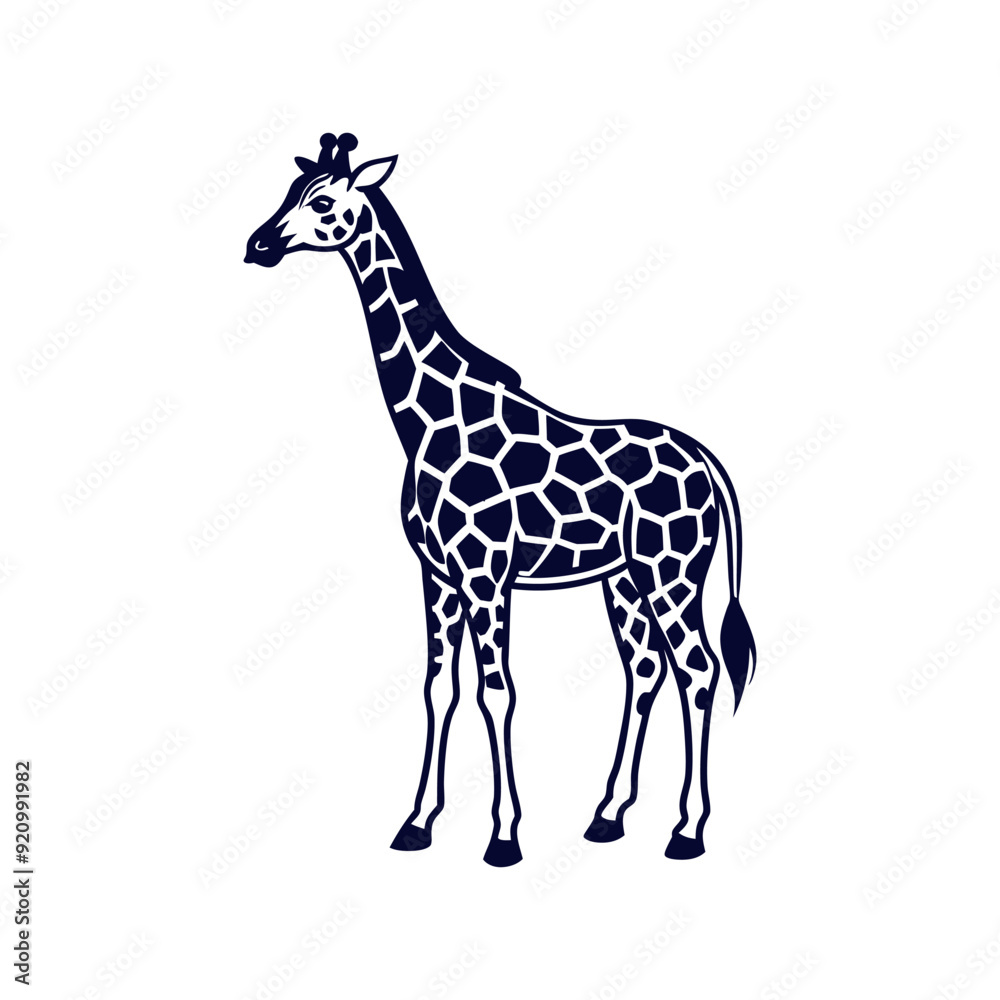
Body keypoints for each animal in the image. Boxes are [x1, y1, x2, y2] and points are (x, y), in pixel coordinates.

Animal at [244, 132, 757, 867]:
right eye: (291, 190)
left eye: (321, 201)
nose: (257, 244)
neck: (428, 419)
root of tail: (709, 464)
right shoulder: (437, 574)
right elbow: (439, 689)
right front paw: (416, 824)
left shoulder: (487, 575)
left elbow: (496, 690)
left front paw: (504, 836)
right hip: (625, 579)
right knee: (645, 669)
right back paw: (607, 816)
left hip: (673, 571)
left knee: (697, 669)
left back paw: (687, 832)